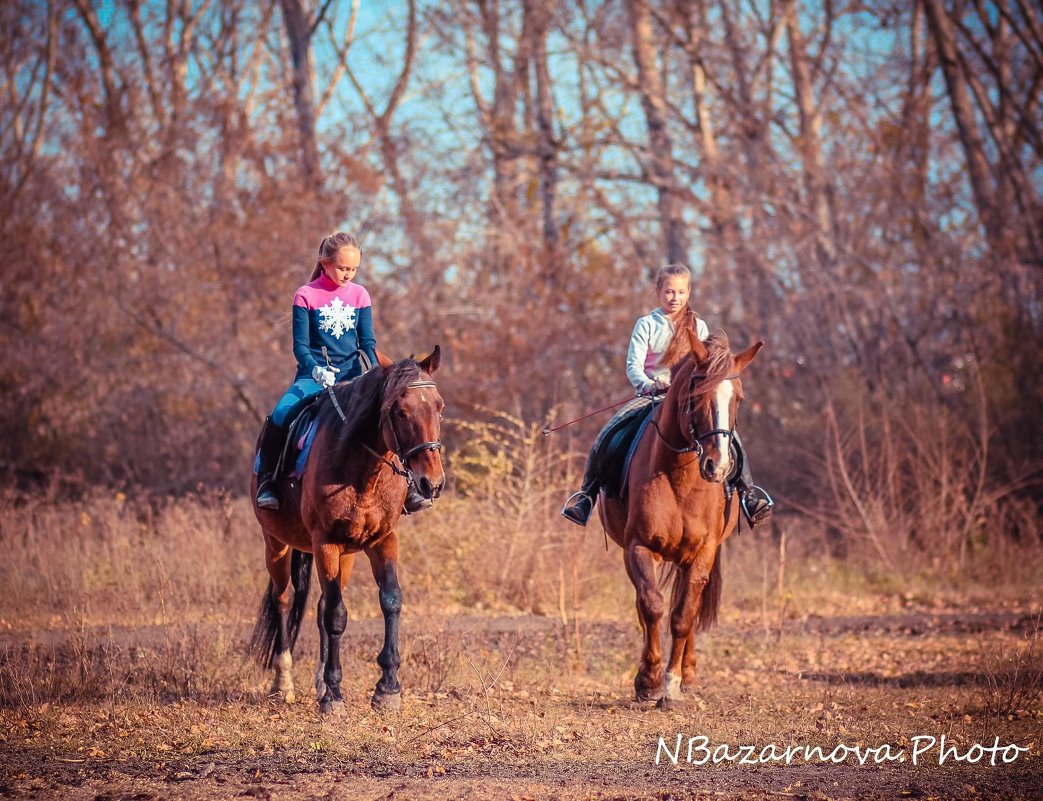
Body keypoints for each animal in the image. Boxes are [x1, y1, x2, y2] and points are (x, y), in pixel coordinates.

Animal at [252, 346, 448, 717]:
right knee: (283, 601)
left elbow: (390, 601)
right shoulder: (325, 542)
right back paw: (283, 684)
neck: (362, 473)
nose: (431, 483)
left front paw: (387, 689)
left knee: (318, 607)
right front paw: (334, 696)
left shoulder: (383, 540)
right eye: (398, 411)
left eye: (439, 407)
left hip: (346, 555)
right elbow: (337, 614)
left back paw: (318, 682)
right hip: (276, 545)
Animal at [600, 329, 763, 709]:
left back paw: (689, 675)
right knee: (647, 604)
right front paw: (647, 681)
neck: (681, 478)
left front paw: (672, 684)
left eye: (740, 399)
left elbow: (683, 615)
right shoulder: (640, 548)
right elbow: (652, 607)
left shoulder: (702, 554)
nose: (718, 466)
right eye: (695, 394)